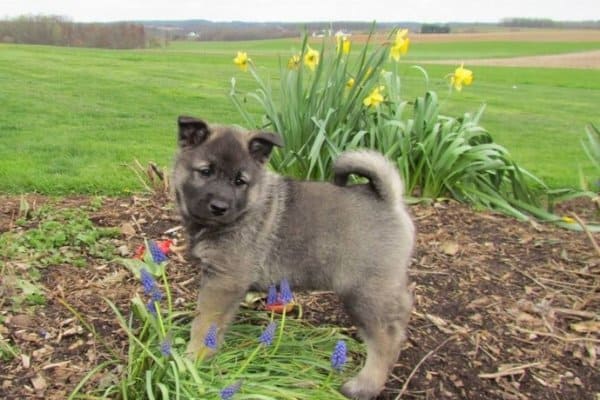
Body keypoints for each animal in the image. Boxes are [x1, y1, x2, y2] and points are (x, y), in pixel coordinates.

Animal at [172, 115, 412, 400]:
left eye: (240, 181)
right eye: (205, 171)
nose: (220, 207)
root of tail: (388, 200)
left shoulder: (222, 282)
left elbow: (204, 323)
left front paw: (192, 360)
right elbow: (214, 324)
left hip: (364, 292)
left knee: (384, 340)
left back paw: (363, 386)